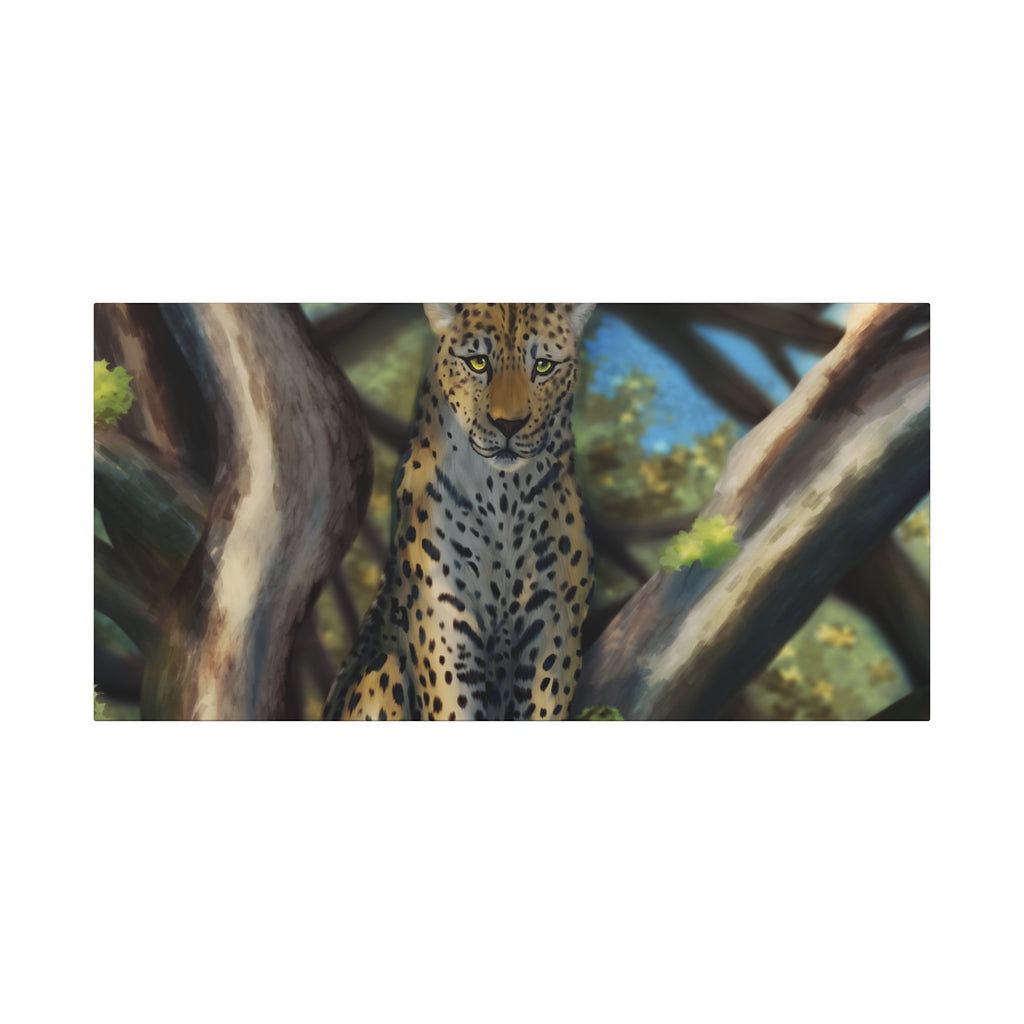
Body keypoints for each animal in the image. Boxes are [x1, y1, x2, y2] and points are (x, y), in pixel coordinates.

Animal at [323, 302, 596, 721]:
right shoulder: (445, 627)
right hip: (380, 672)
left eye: (544, 366)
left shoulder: (554, 628)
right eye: (478, 362)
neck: (504, 496)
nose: (508, 425)